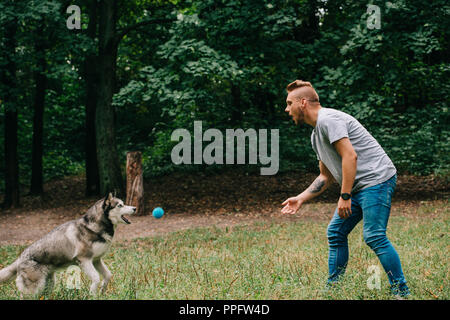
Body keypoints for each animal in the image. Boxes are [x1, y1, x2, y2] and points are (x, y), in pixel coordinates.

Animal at [0, 191, 135, 296]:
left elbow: (108, 275)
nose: (134, 208)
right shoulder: (84, 260)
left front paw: (102, 291)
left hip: (49, 284)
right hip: (35, 288)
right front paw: (93, 294)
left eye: (123, 203)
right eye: (120, 205)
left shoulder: (97, 260)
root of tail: (20, 258)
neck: (94, 227)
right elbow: (96, 278)